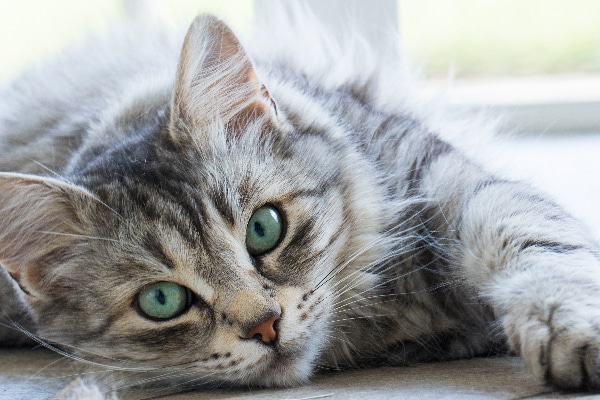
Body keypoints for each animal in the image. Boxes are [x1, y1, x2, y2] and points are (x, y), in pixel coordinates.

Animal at [1, 7, 600, 400]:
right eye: (162, 301)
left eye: (264, 228)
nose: (265, 325)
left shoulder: (444, 181)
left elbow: (537, 240)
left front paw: (567, 323)